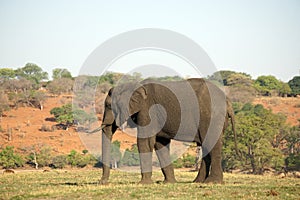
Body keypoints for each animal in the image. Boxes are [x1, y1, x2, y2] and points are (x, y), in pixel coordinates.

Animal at [98, 77, 237, 184]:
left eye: (109, 106)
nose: (102, 182)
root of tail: (227, 101)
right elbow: (160, 144)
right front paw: (168, 183)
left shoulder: (147, 110)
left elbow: (144, 142)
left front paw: (143, 184)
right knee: (206, 145)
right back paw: (198, 182)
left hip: (212, 117)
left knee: (212, 144)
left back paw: (212, 182)